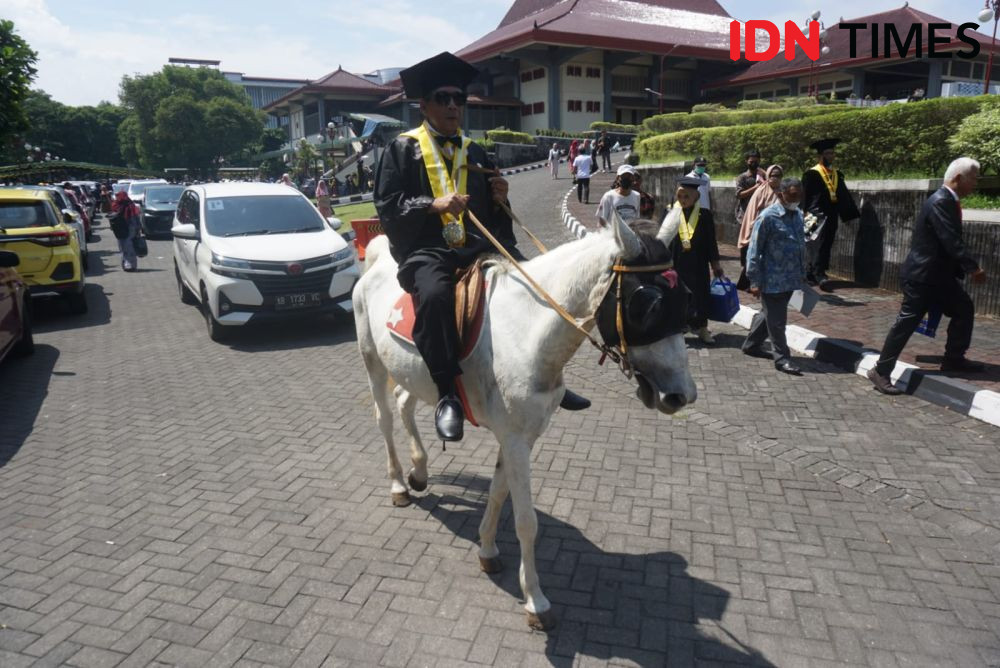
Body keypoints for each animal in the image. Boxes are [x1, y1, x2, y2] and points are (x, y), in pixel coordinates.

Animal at [354, 215, 696, 632]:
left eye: (686, 300)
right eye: (647, 305)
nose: (681, 395)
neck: (527, 331)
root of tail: (376, 258)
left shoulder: (519, 438)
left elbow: (498, 494)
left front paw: (487, 548)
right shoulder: (516, 440)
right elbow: (525, 521)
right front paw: (535, 600)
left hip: (414, 374)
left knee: (405, 403)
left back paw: (419, 471)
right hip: (372, 361)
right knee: (384, 418)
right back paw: (399, 485)